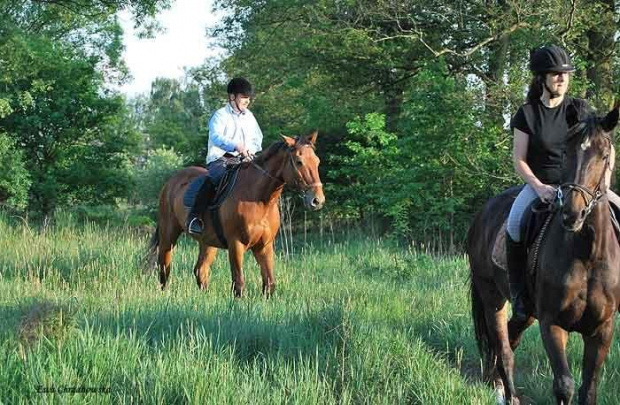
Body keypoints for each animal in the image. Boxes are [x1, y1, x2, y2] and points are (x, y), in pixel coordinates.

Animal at [148, 131, 326, 296]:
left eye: (317, 161)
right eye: (299, 162)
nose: (317, 200)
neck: (259, 200)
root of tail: (170, 183)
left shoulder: (265, 246)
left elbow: (269, 283)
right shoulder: (236, 244)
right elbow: (239, 283)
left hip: (207, 242)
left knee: (200, 270)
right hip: (168, 235)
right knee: (164, 267)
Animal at [470, 105, 620, 402]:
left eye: (604, 155)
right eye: (566, 152)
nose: (572, 214)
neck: (587, 255)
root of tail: (482, 215)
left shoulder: (602, 329)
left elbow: (589, 388)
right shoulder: (552, 323)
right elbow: (564, 385)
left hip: (526, 312)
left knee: (510, 339)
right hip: (492, 297)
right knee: (503, 348)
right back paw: (506, 394)